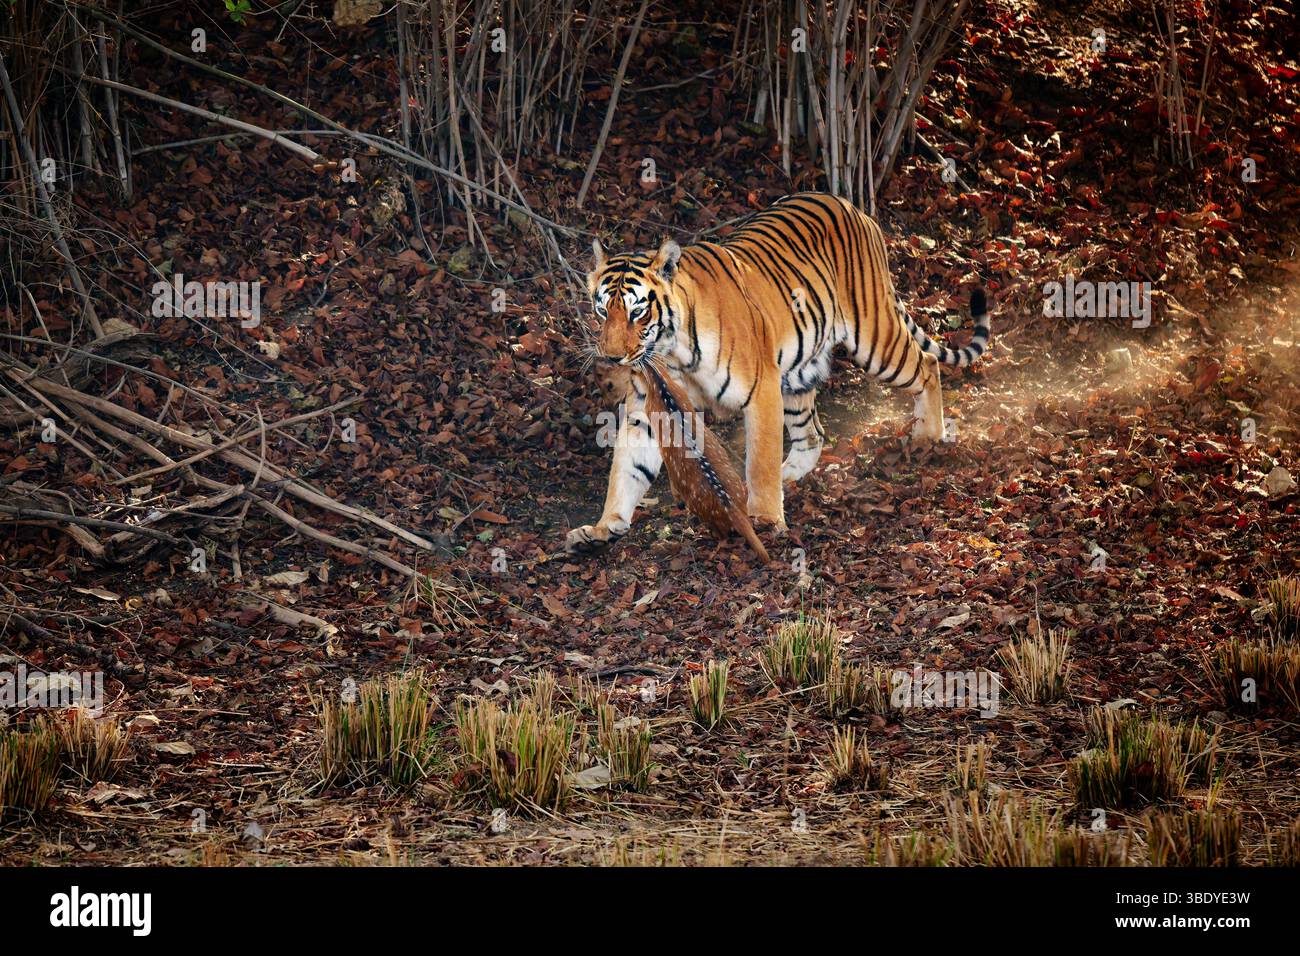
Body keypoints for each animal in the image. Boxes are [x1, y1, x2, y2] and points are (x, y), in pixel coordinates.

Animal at [564, 191, 991, 555]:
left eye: (637, 311)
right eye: (602, 311)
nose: (613, 357)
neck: (672, 351)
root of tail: (852, 206)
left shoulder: (760, 390)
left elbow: (760, 461)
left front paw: (765, 520)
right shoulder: (649, 404)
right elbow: (627, 468)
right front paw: (603, 527)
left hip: (874, 340)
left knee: (927, 365)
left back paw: (929, 437)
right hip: (798, 373)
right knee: (813, 434)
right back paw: (792, 474)